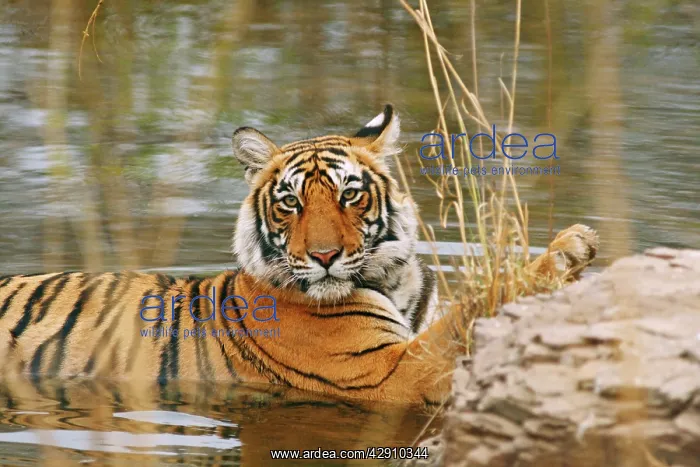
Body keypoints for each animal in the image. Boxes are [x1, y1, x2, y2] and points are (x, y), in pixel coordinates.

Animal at [0, 105, 599, 404]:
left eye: (350, 194)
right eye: (290, 202)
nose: (326, 255)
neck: (392, 280)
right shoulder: (390, 374)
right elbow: (466, 317)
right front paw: (571, 247)